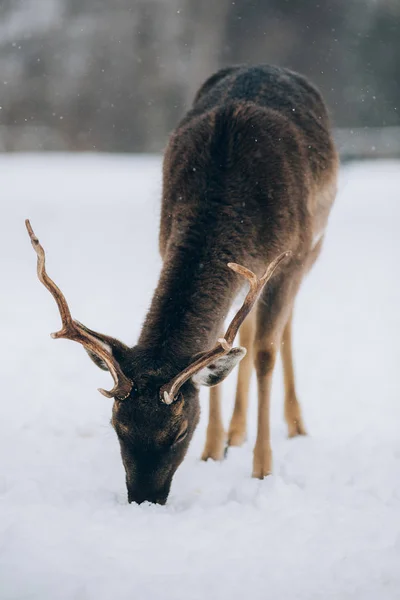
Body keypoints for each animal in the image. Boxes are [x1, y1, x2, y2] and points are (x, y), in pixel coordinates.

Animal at [25, 63, 338, 504]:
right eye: (117, 426)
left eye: (178, 431)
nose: (143, 499)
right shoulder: (165, 239)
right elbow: (217, 345)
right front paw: (212, 450)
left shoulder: (290, 258)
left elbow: (264, 354)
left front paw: (262, 470)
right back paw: (235, 433)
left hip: (314, 247)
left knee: (281, 330)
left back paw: (294, 425)